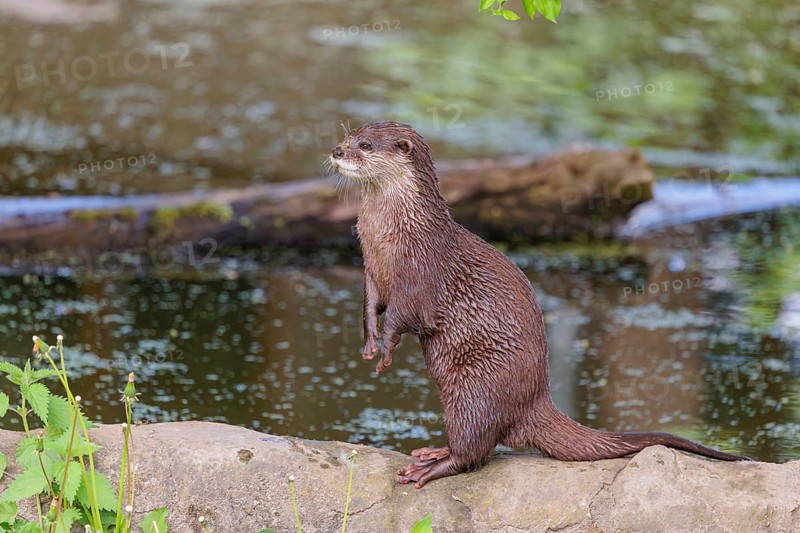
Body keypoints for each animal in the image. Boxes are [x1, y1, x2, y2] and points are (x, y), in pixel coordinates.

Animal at [329, 121, 750, 488]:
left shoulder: (420, 275)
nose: (337, 152)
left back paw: (431, 466)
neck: (392, 235)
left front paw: (385, 349)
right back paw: (433, 451)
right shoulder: (371, 270)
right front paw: (368, 341)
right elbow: (371, 304)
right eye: (348, 136)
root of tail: (536, 398)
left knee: (475, 449)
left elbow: (404, 316)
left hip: (476, 387)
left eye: (365, 145)